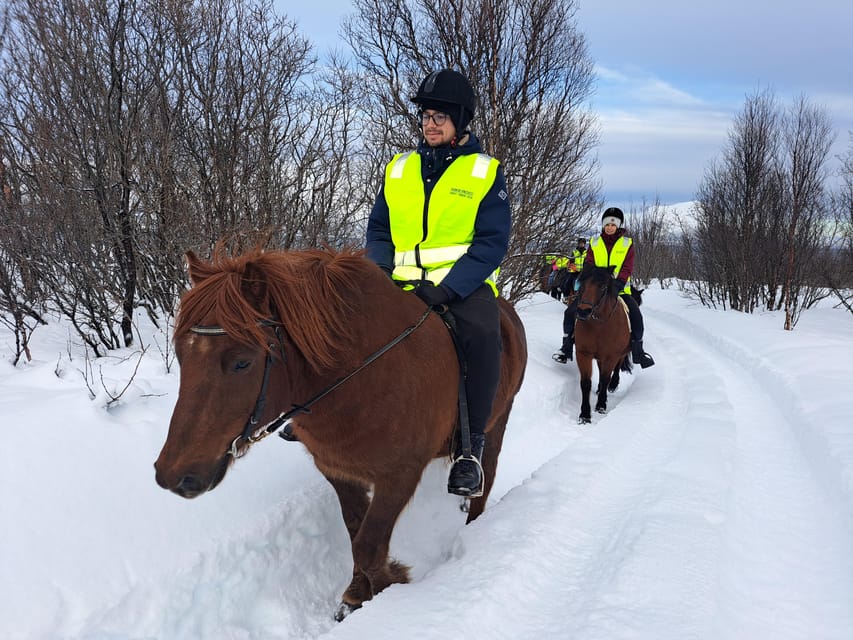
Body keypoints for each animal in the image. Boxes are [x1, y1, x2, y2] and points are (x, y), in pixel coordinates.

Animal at [153, 249, 524, 620]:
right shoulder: (337, 470)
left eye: (243, 362)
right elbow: (355, 531)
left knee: (486, 475)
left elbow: (369, 547)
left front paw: (388, 587)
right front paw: (358, 592)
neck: (366, 378)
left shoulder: (400, 476)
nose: (173, 475)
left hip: (497, 422)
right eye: (181, 355)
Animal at [572, 264, 632, 424]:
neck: (599, 326)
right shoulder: (583, 354)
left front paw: (601, 405)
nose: (583, 311)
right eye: (582, 284)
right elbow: (586, 383)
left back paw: (613, 385)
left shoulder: (611, 356)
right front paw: (585, 414)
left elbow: (606, 378)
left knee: (616, 368)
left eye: (603, 287)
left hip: (621, 353)